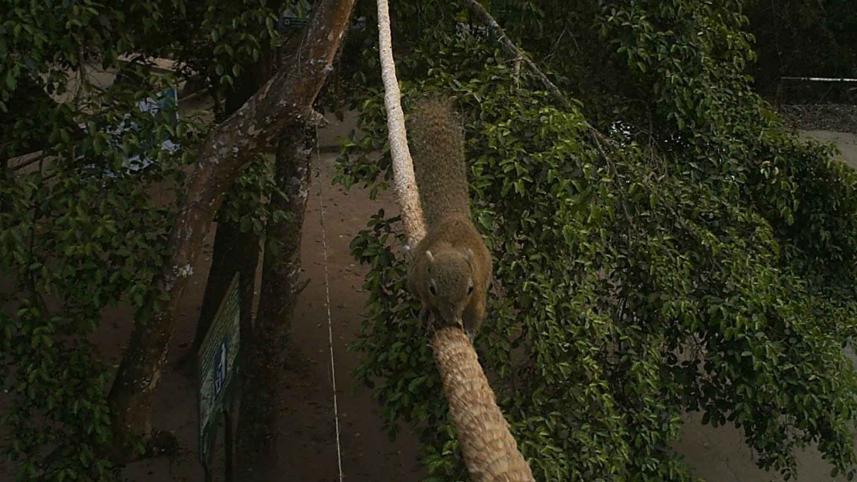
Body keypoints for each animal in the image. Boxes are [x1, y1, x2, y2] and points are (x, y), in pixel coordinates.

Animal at [406, 98, 492, 340]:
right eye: (433, 288)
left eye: (469, 289)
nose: (452, 320)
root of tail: (454, 216)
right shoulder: (420, 280)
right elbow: (428, 303)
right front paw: (431, 314)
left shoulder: (479, 291)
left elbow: (476, 315)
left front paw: (469, 333)